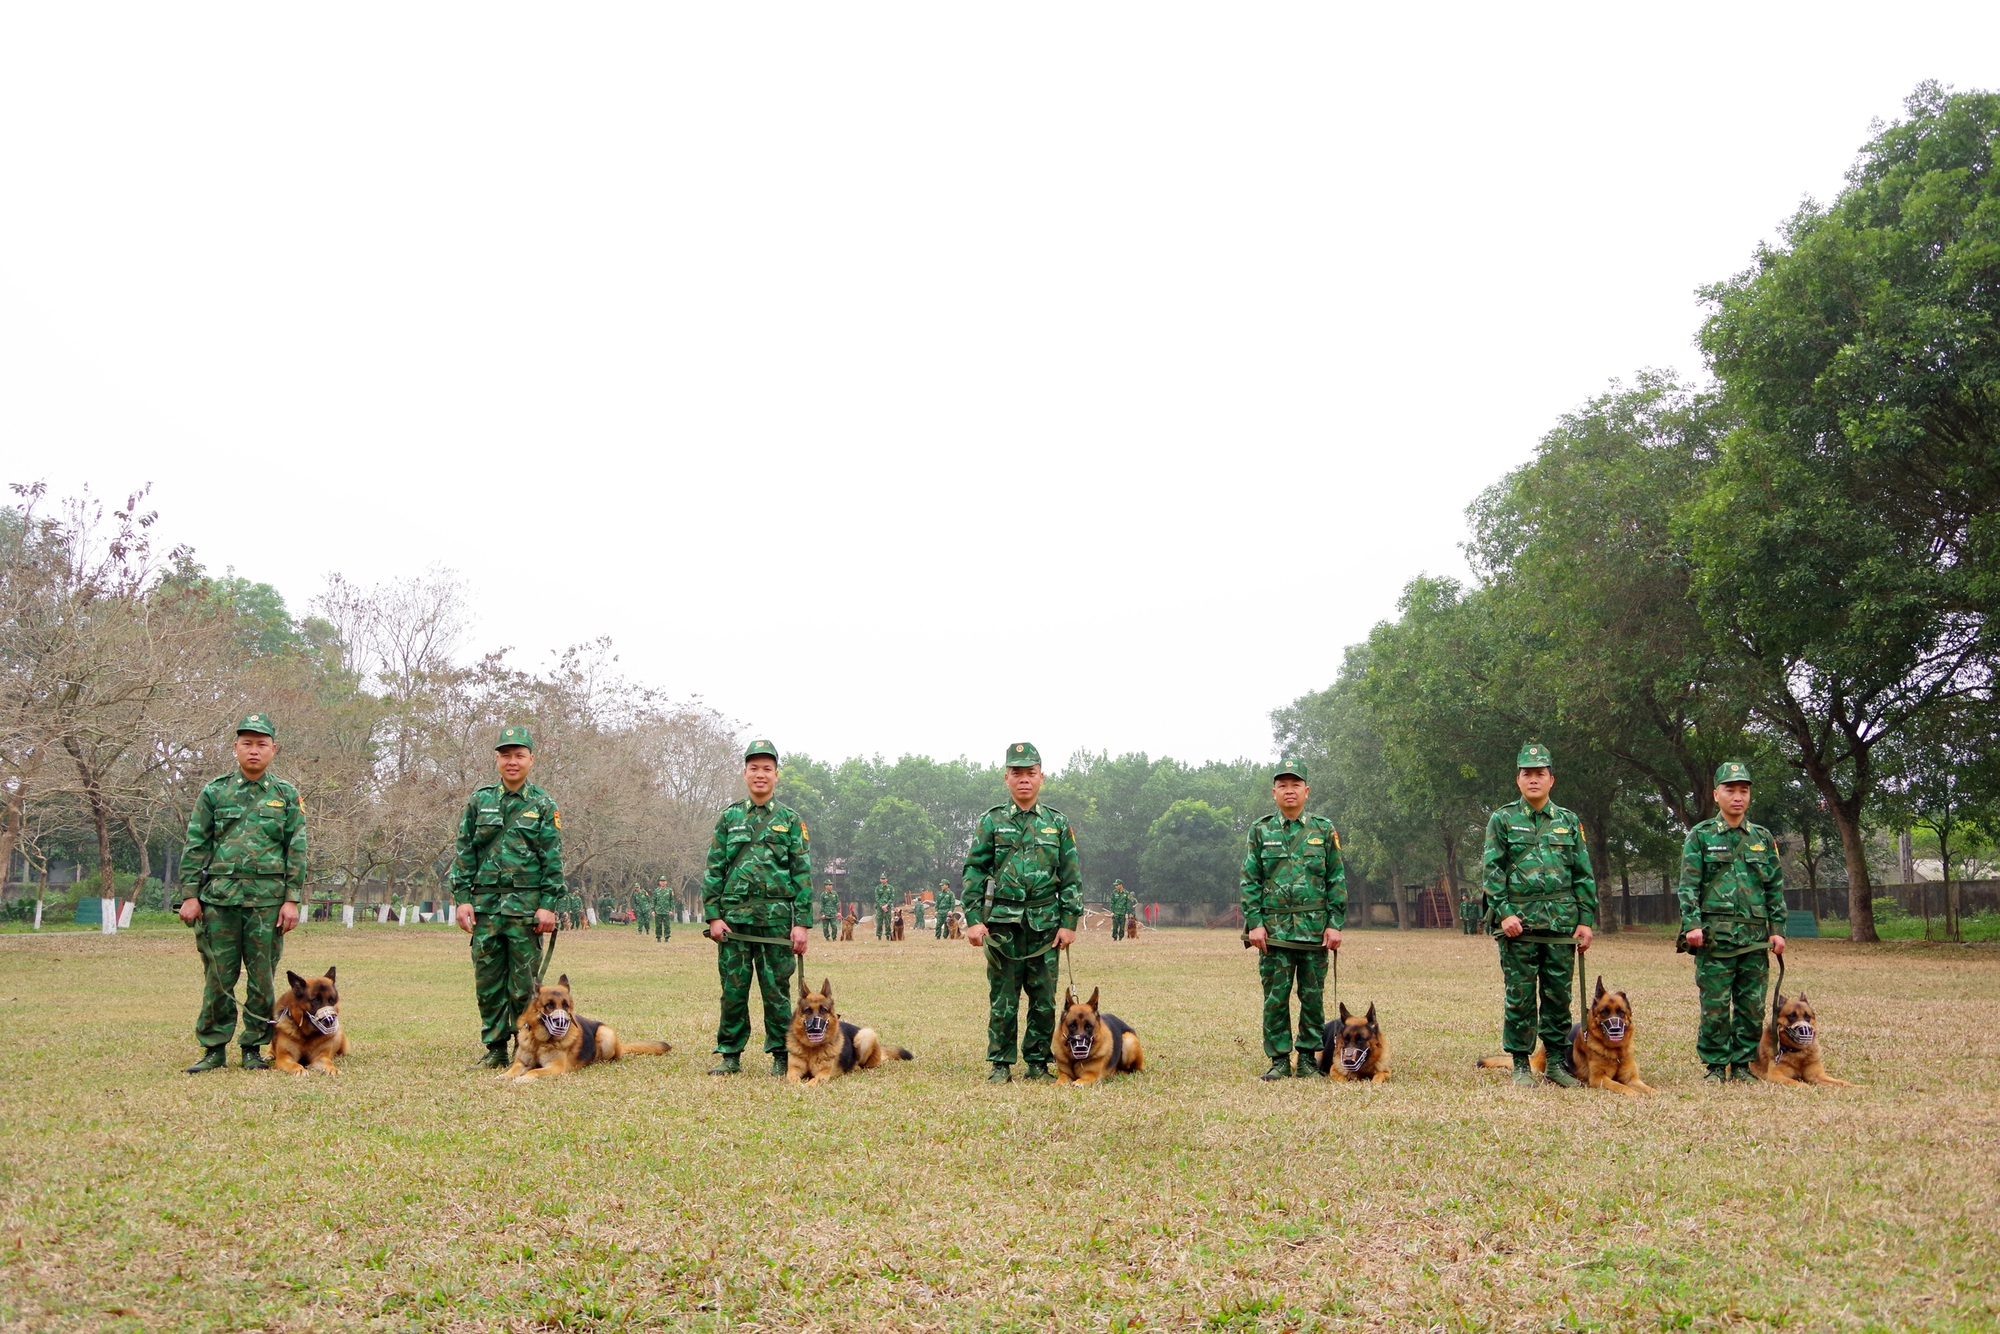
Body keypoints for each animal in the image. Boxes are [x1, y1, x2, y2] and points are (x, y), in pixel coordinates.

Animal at [504, 980, 676, 1088]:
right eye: (549, 1005)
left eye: (566, 1005)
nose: (561, 1023)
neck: (539, 1041)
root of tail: (620, 1045)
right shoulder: (521, 1063)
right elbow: (511, 1071)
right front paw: (504, 1077)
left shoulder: (555, 1067)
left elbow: (534, 1070)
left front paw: (524, 1078)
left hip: (605, 1034)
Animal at [784, 980, 912, 1088]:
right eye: (807, 1011)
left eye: (823, 1010)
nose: (815, 1030)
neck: (811, 1049)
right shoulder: (793, 1070)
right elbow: (794, 1079)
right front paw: (798, 1084)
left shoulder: (823, 1073)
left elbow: (815, 1079)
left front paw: (808, 1085)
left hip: (866, 1035)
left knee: (864, 1065)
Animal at [1480, 980, 1648, 1096]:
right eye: (1604, 1012)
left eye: (1621, 1012)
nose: (1615, 1029)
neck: (1616, 1052)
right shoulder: (1599, 1079)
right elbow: (1620, 1085)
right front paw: (1634, 1094)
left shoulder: (1633, 1079)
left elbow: (1647, 1088)